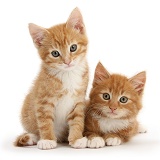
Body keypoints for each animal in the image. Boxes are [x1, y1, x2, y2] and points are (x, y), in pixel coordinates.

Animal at [14, 7, 89, 149]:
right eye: (55, 53)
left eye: (73, 47)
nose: (67, 62)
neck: (68, 74)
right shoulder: (43, 100)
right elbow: (45, 121)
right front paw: (47, 139)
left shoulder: (78, 100)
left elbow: (77, 119)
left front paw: (76, 138)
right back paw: (31, 138)